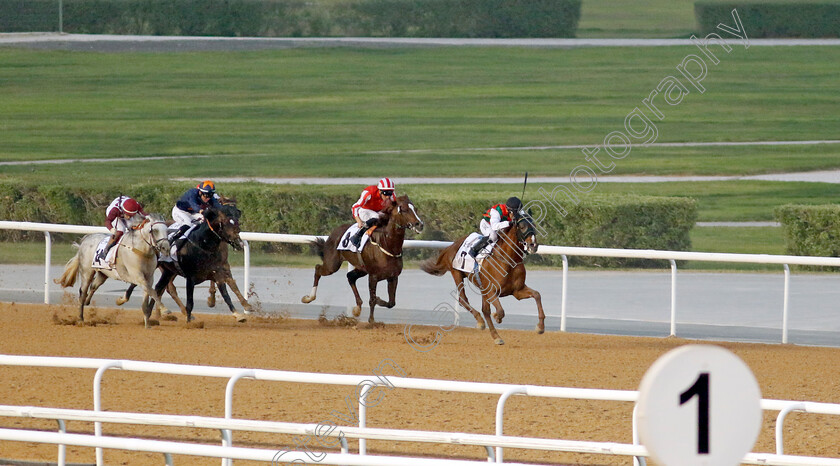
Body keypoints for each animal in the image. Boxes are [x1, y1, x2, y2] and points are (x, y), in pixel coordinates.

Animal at [298, 196, 424, 324]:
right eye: (404, 209)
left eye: (415, 209)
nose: (419, 224)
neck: (387, 245)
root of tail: (335, 231)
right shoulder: (373, 276)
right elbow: (372, 299)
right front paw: (371, 320)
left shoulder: (393, 277)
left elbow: (391, 303)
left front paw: (377, 301)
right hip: (332, 265)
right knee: (318, 269)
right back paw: (309, 298)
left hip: (362, 269)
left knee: (350, 276)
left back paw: (357, 308)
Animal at [420, 211, 544, 346]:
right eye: (521, 227)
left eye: (534, 225)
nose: (533, 245)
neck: (508, 260)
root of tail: (452, 245)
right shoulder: (492, 291)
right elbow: (500, 311)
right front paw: (497, 317)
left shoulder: (517, 291)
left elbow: (537, 295)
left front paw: (540, 327)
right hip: (457, 273)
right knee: (463, 300)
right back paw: (480, 322)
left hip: (482, 288)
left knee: (484, 310)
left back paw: (496, 336)